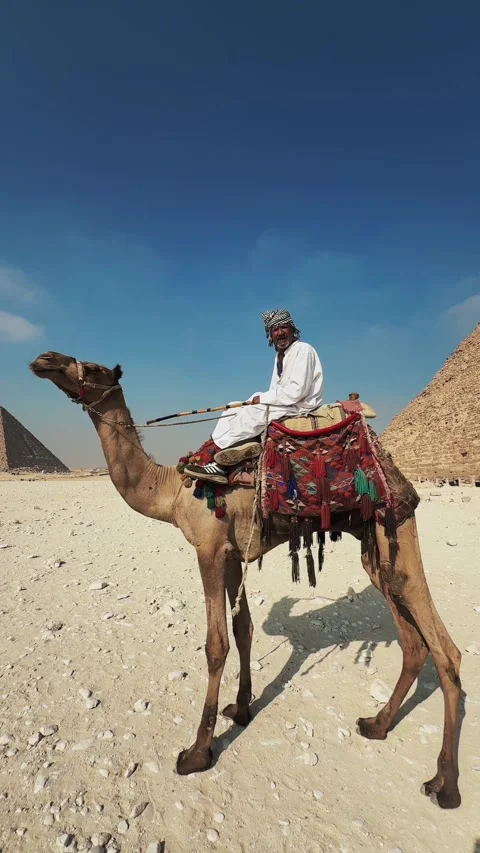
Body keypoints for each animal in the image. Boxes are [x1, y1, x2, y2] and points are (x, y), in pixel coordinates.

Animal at [29, 351, 463, 809]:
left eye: (93, 368)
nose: (45, 359)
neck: (172, 490)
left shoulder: (207, 549)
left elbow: (215, 644)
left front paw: (198, 752)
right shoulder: (233, 553)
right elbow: (244, 629)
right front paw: (240, 710)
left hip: (394, 524)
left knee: (443, 646)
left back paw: (445, 783)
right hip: (375, 544)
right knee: (412, 637)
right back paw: (377, 724)